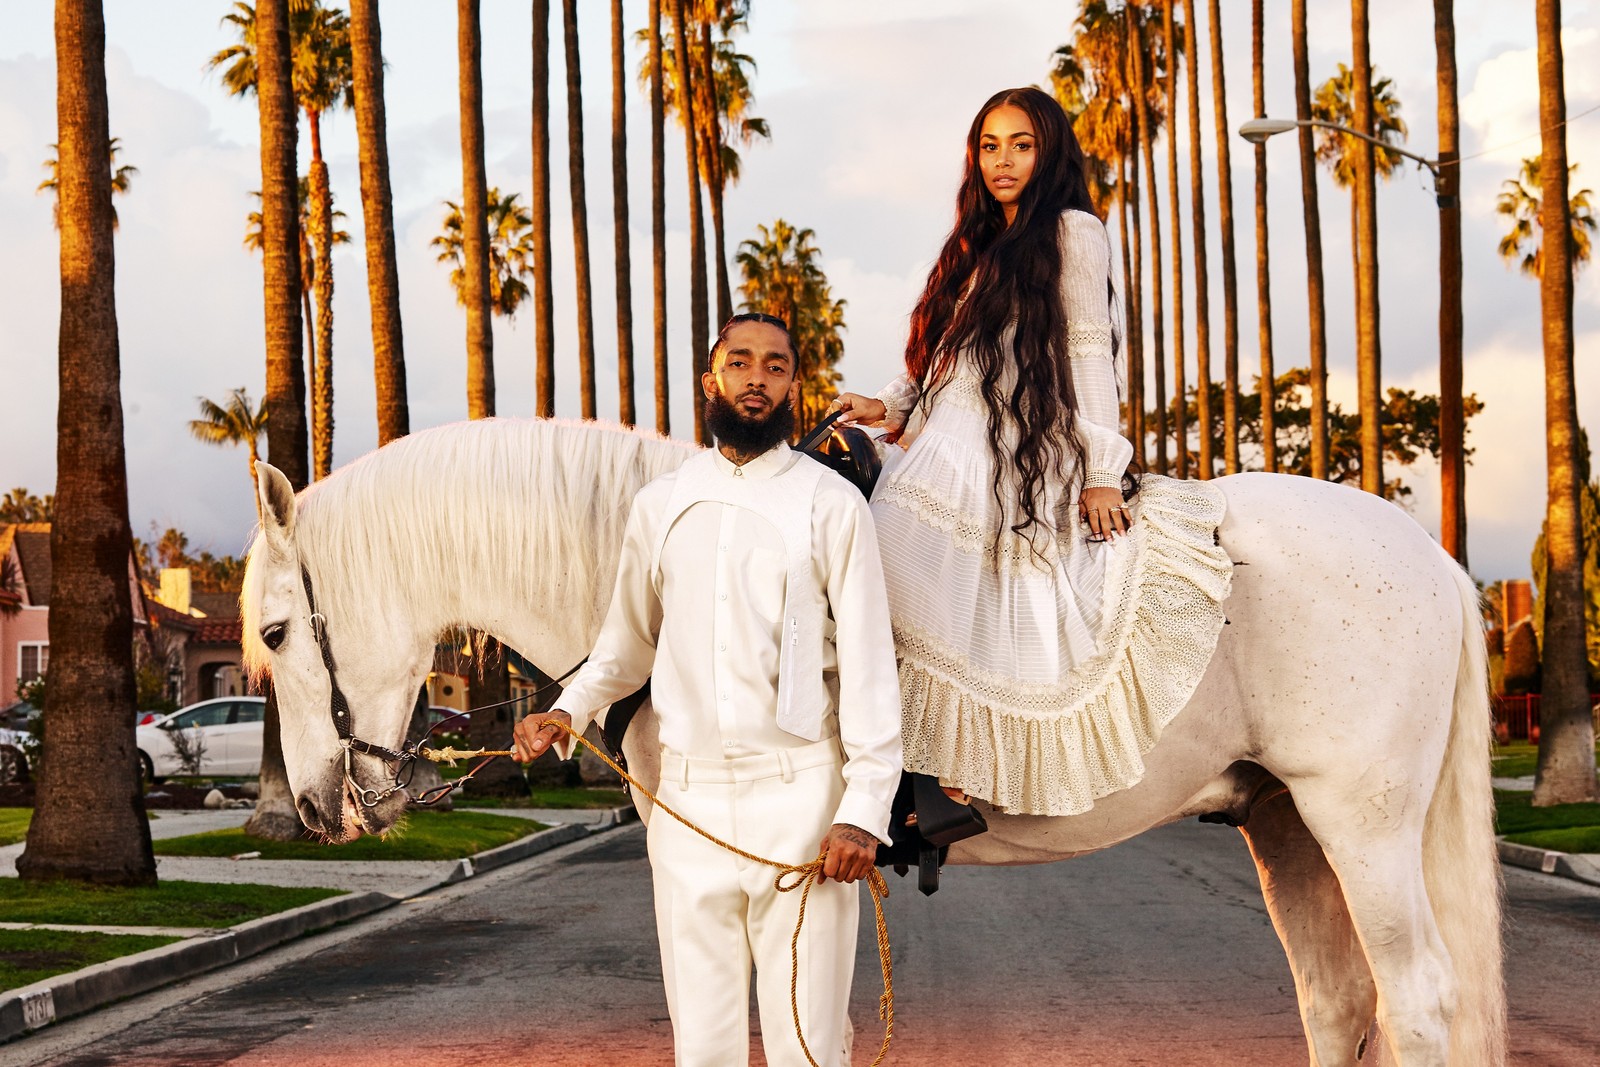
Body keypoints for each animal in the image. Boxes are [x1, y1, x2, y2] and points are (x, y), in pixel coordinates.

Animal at [236, 419, 1497, 1067]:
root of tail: (1432, 556)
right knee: (1338, 999)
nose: (317, 808)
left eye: (277, 630)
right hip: (1283, 820)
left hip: (1358, 819)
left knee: (1420, 996)